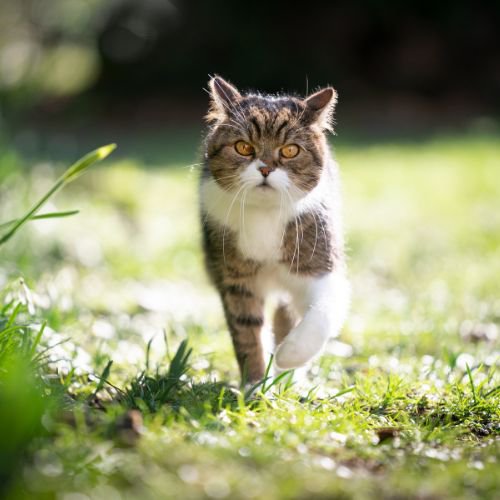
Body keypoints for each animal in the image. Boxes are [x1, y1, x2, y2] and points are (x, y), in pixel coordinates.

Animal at [198, 75, 348, 382]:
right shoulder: (236, 280)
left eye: (290, 150)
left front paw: (289, 356)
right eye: (243, 147)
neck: (265, 214)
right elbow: (247, 332)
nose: (266, 169)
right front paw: (255, 383)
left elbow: (322, 313)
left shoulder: (321, 265)